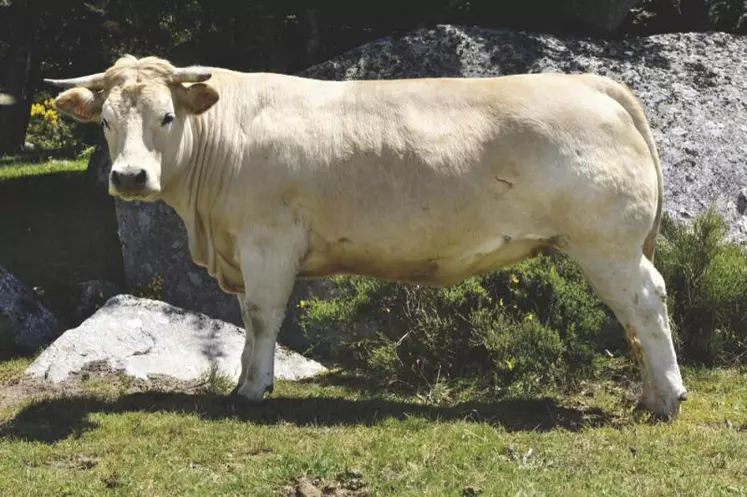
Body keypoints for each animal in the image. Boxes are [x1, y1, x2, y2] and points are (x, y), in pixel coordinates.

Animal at [45, 54, 688, 418]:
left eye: (167, 117)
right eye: (106, 121)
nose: (129, 177)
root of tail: (593, 84)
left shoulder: (267, 243)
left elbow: (262, 315)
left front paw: (252, 391)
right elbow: (249, 320)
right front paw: (248, 380)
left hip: (608, 244)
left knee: (647, 305)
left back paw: (667, 398)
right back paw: (649, 394)